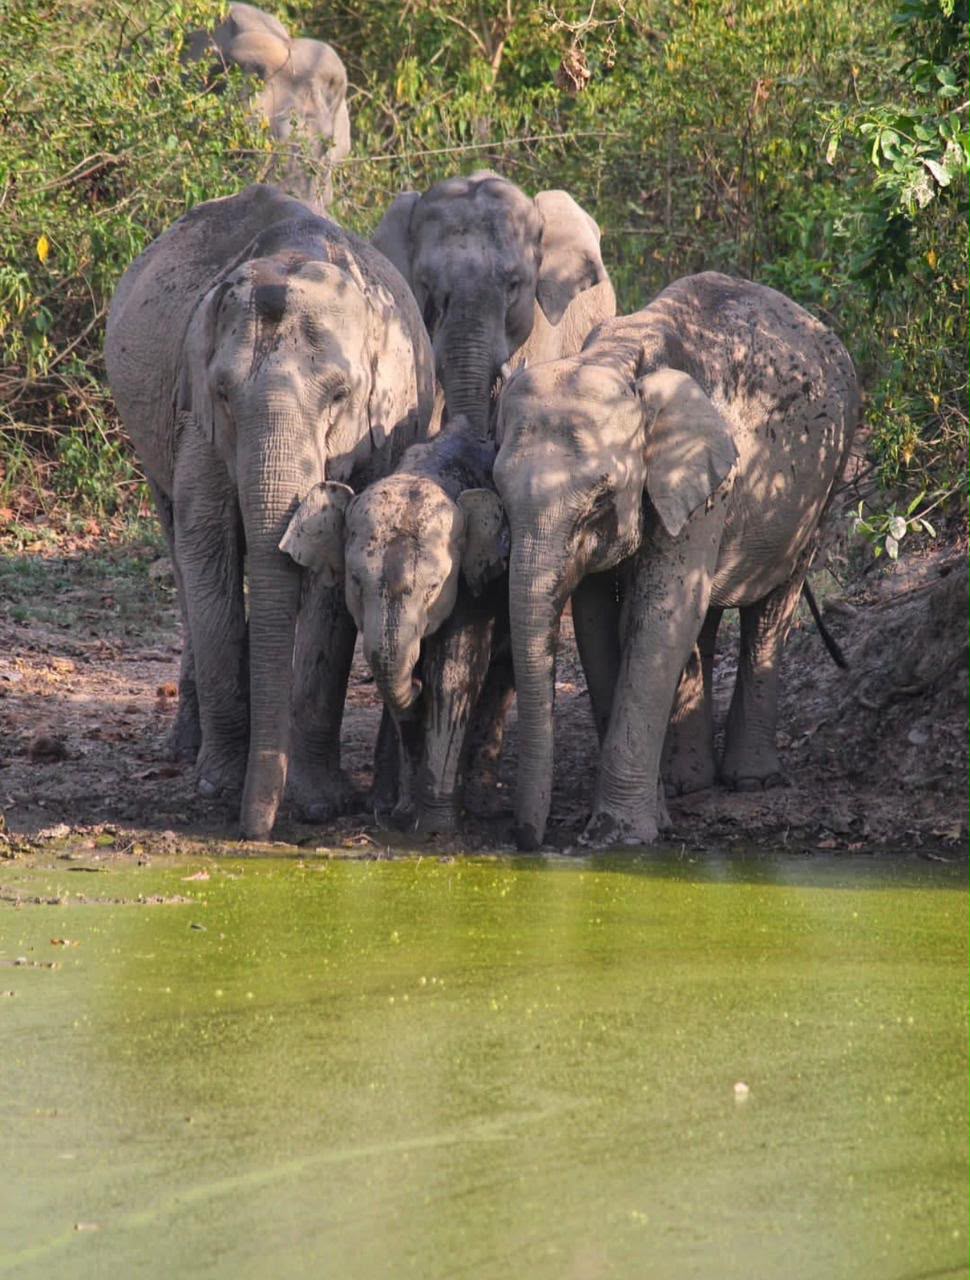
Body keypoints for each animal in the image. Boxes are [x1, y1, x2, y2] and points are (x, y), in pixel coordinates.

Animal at [105, 183, 435, 840]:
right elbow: (207, 542)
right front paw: (218, 787)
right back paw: (187, 749)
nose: (252, 832)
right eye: (224, 393)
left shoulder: (380, 431)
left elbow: (335, 571)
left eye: (340, 395)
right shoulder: (196, 421)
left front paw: (319, 803)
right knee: (178, 545)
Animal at [281, 415, 509, 832]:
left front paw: (436, 828)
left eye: (434, 587)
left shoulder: (478, 585)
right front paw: (406, 814)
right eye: (356, 582)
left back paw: (482, 805)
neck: (429, 471)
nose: (415, 684)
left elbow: (453, 674)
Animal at [493, 271, 860, 850]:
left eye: (599, 501)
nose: (529, 839)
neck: (618, 359)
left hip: (825, 480)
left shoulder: (708, 476)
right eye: (499, 499)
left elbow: (658, 615)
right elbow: (598, 622)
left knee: (770, 607)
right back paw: (691, 784)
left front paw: (621, 835)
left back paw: (750, 781)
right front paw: (647, 813)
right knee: (704, 617)